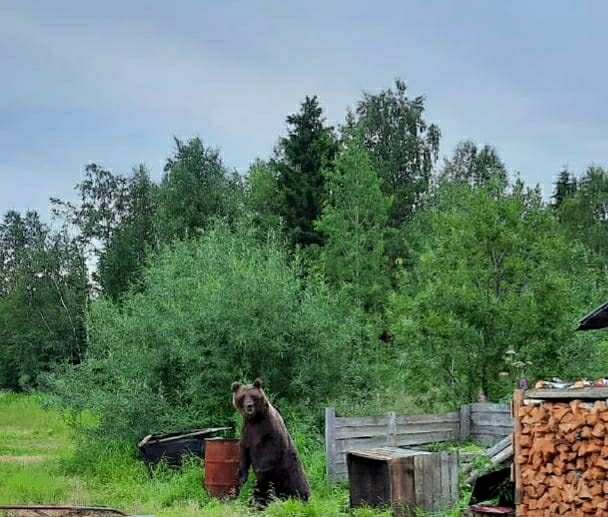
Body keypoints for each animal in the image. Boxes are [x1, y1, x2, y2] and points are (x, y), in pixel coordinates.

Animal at [232, 376, 312, 506]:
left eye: (253, 396)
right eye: (242, 396)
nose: (249, 406)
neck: (255, 419)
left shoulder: (269, 429)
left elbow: (271, 451)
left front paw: (259, 470)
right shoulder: (247, 431)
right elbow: (244, 450)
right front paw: (242, 476)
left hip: (290, 471)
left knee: (298, 486)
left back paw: (302, 498)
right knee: (262, 493)